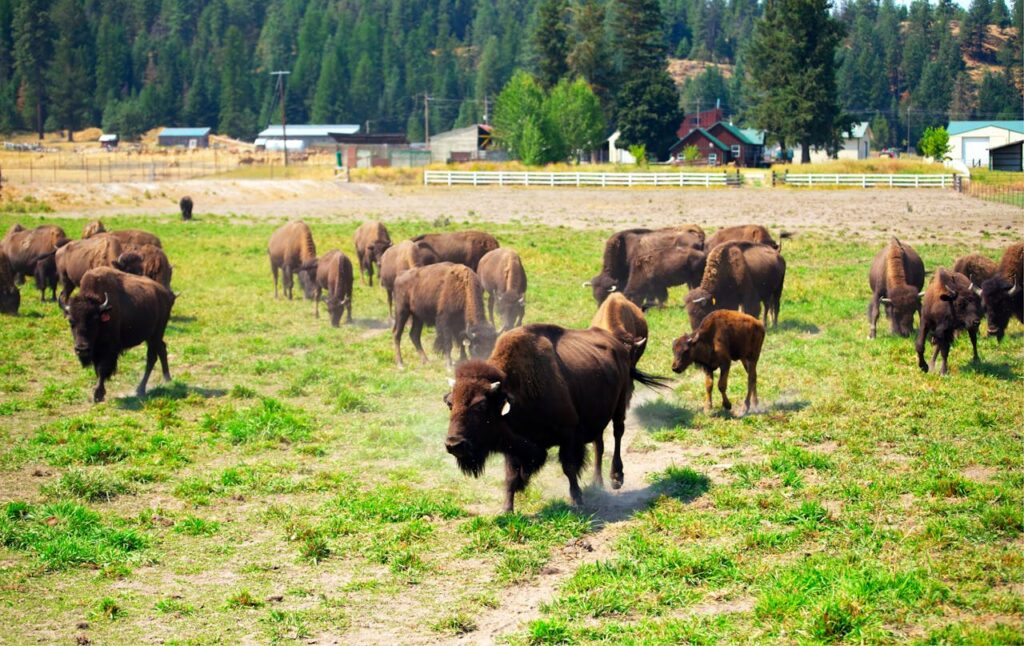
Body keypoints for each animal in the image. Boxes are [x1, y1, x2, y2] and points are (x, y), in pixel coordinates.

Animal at [59, 266, 174, 402]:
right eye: (71, 321)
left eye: (94, 319)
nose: (82, 349)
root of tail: (165, 294)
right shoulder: (96, 350)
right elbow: (97, 369)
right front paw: (99, 393)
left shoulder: (109, 349)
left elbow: (102, 368)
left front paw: (98, 394)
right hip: (152, 337)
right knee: (162, 349)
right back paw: (167, 379)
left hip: (156, 335)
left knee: (152, 357)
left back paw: (140, 389)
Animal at [444, 324, 665, 513]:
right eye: (450, 404)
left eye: (481, 405)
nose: (454, 444)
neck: (515, 390)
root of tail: (618, 344)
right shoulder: (513, 445)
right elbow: (510, 476)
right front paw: (507, 509)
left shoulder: (568, 435)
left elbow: (569, 467)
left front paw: (577, 500)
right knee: (599, 445)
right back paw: (597, 483)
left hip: (620, 405)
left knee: (618, 434)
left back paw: (616, 478)